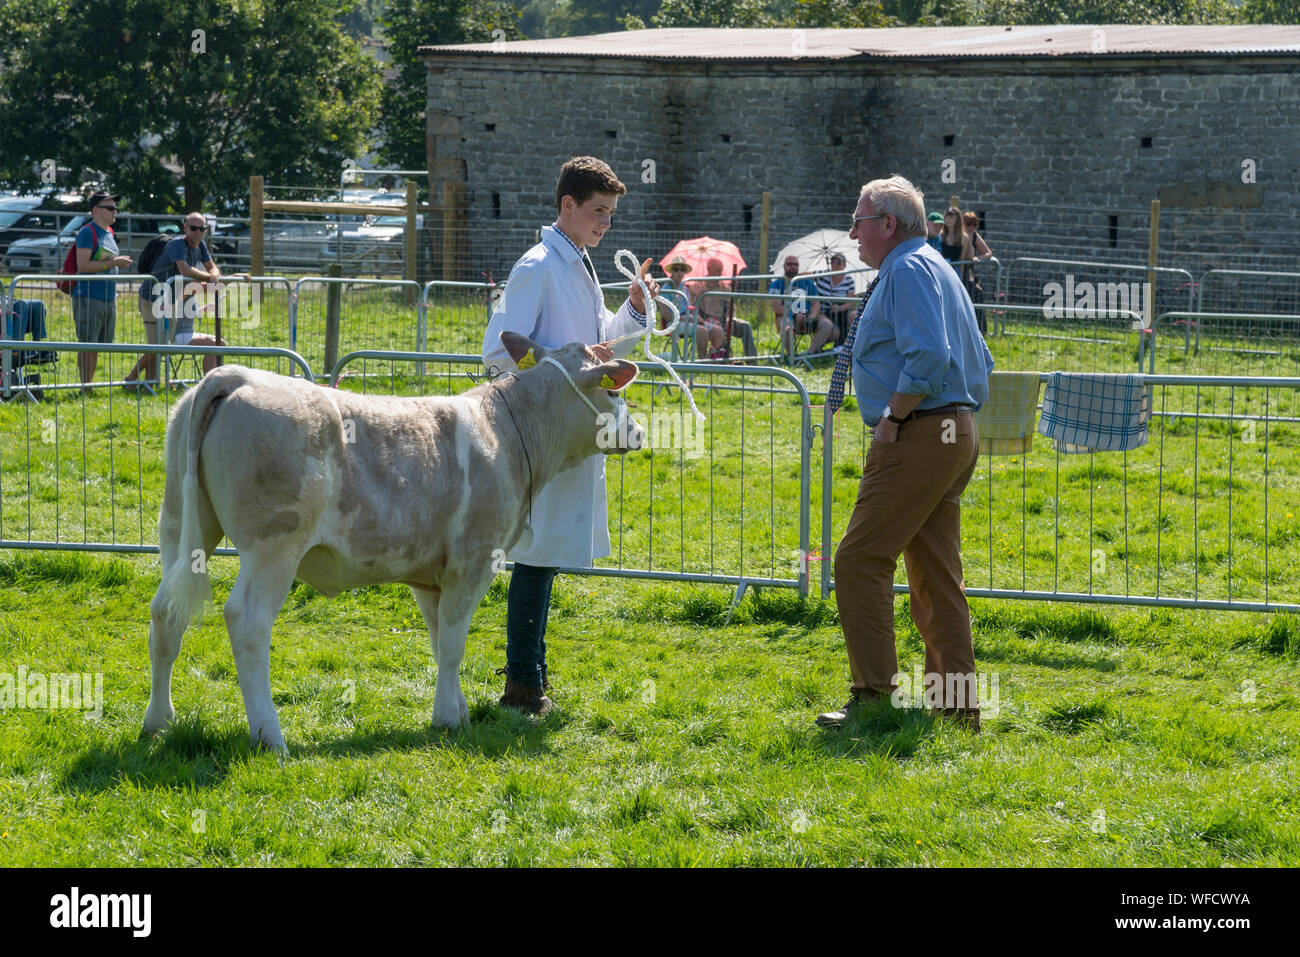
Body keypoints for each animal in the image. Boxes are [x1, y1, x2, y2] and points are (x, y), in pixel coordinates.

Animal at [143, 332, 644, 748]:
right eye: (613, 390)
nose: (638, 432)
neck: (509, 431)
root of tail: (235, 374)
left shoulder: (430, 574)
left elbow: (440, 637)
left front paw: (459, 709)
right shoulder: (474, 559)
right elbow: (453, 644)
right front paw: (446, 718)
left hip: (179, 527)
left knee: (166, 612)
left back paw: (159, 720)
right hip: (274, 546)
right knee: (248, 621)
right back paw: (270, 735)